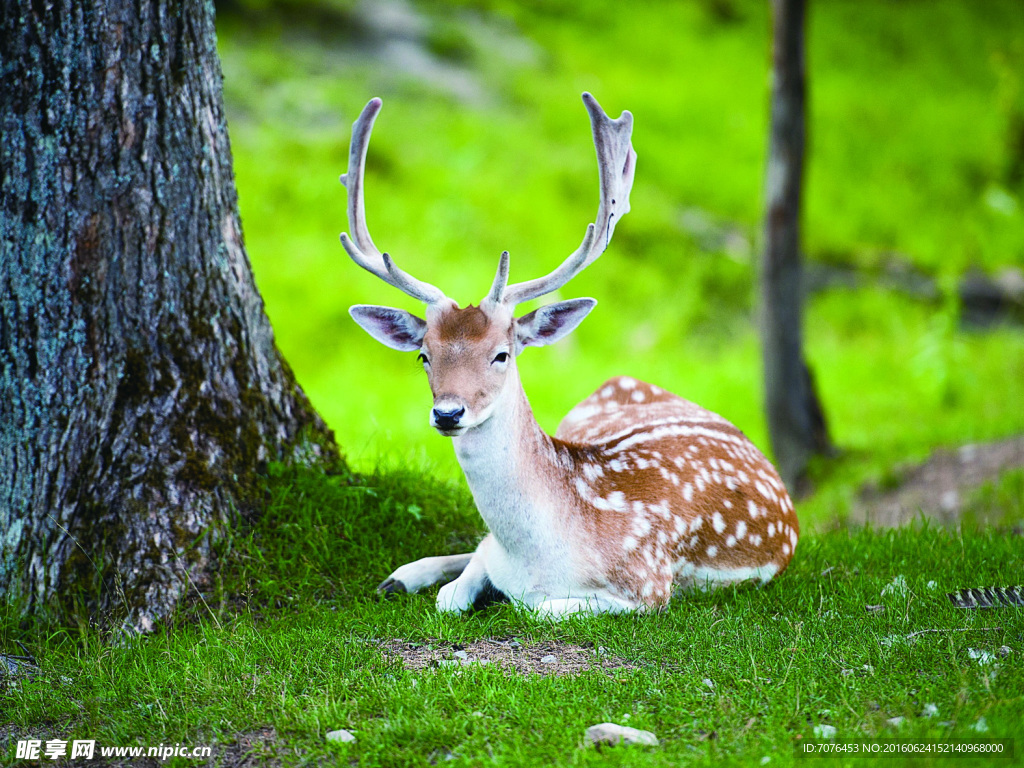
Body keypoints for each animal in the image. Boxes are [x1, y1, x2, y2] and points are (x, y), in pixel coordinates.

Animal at [339, 93, 794, 618]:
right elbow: (455, 591)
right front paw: (422, 579)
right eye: (424, 356)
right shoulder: (495, 553)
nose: (448, 413)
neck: (538, 555)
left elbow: (533, 606)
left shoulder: (649, 586)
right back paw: (400, 576)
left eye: (502, 355)